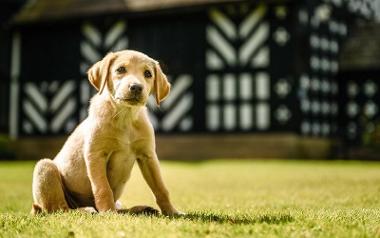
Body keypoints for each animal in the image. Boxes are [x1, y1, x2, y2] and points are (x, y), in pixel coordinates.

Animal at [31, 50, 183, 216]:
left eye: (148, 74)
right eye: (121, 69)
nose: (136, 87)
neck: (125, 116)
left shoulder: (148, 156)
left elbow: (160, 188)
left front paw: (171, 211)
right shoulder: (96, 155)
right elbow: (103, 188)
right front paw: (108, 212)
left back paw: (140, 209)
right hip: (45, 167)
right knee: (60, 208)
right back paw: (87, 210)